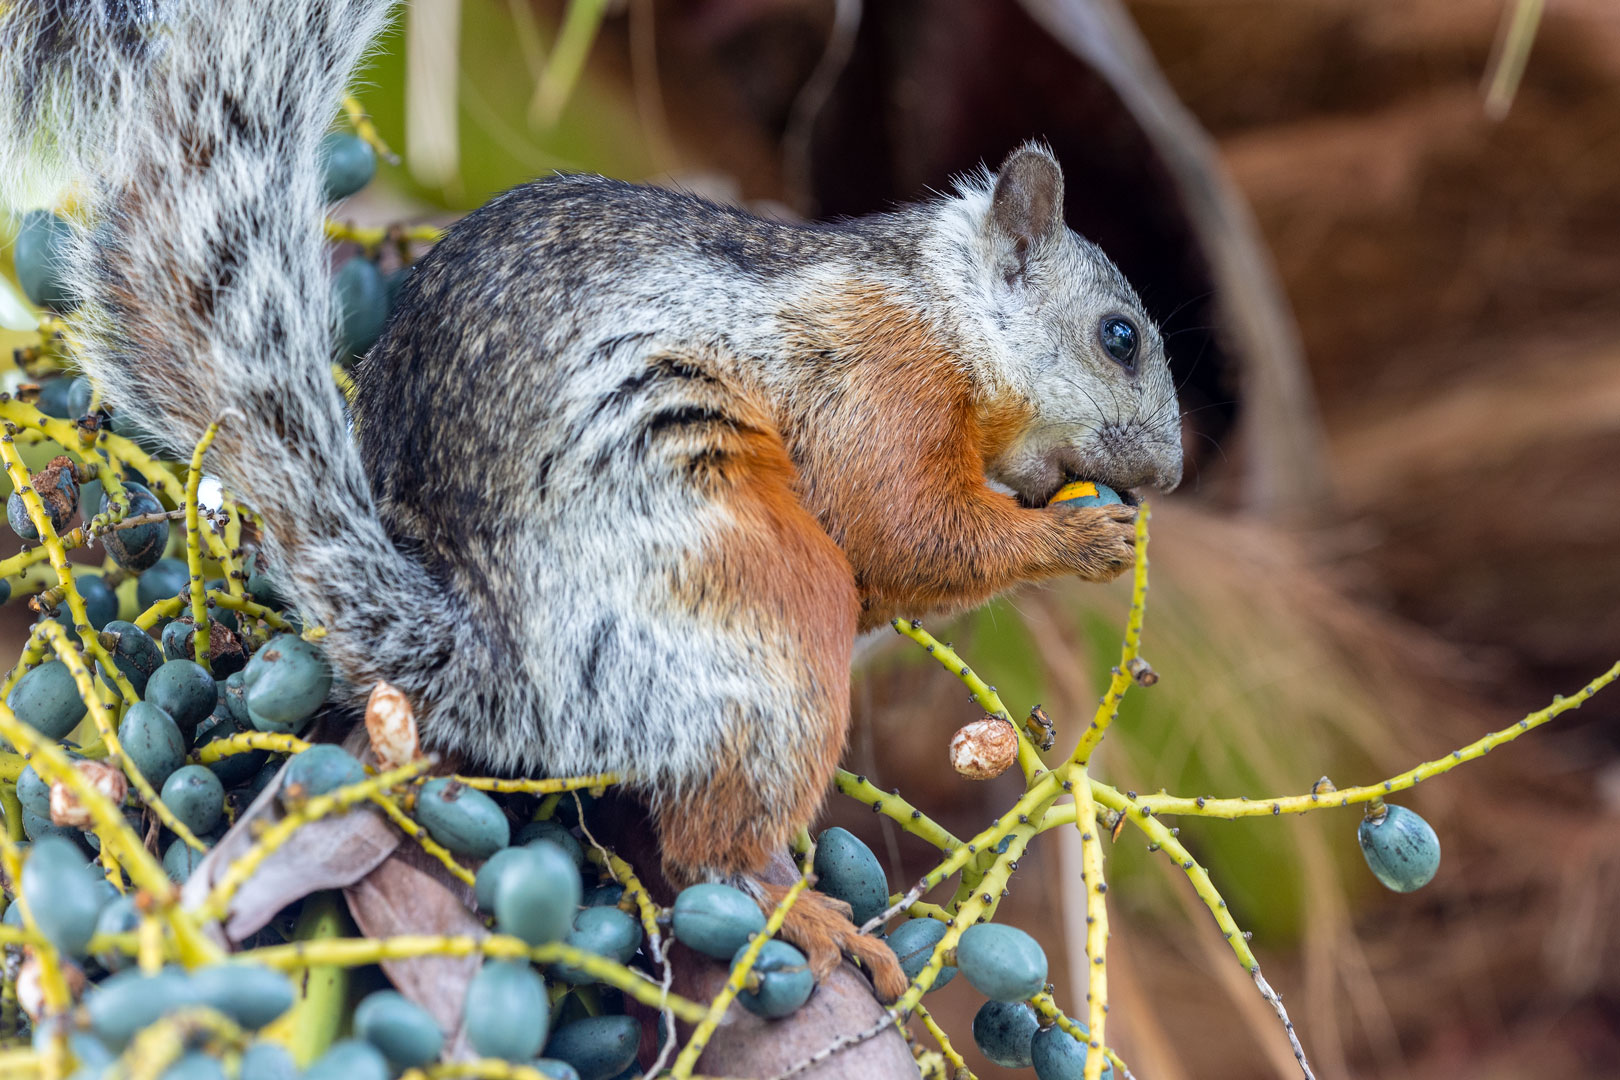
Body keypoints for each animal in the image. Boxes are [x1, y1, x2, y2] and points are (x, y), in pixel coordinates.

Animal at [6, 0, 1185, 1003]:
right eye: (1119, 335)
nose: (1171, 477)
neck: (943, 312)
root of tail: (499, 680)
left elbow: (900, 570)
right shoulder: (877, 385)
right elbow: (903, 530)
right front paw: (1080, 537)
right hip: (762, 601)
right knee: (708, 846)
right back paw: (803, 918)